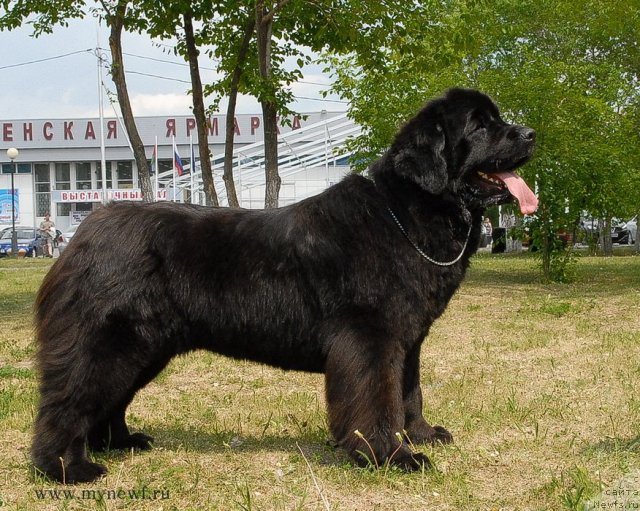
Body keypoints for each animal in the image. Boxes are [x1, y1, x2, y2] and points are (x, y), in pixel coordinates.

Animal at [32, 88, 536, 484]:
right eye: (479, 125)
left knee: (109, 401)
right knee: (67, 401)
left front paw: (422, 436)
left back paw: (120, 443)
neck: (405, 214)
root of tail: (86, 230)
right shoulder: (371, 339)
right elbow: (378, 400)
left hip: (145, 349)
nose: (531, 133)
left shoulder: (407, 340)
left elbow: (409, 393)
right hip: (109, 342)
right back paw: (66, 468)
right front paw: (391, 456)